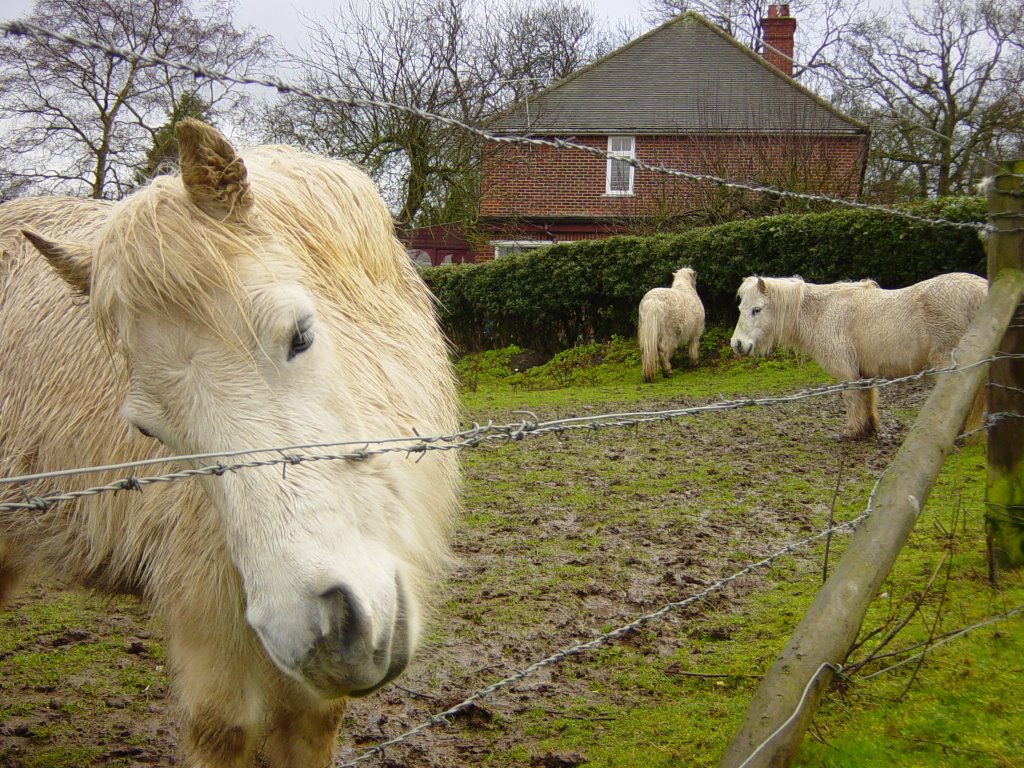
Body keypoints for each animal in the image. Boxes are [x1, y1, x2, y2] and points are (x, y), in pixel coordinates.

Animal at [733, 274, 987, 442]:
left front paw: (851, 432)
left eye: (756, 310)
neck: (823, 312)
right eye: (741, 309)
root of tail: (981, 289)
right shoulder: (864, 372)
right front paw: (869, 429)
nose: (737, 344)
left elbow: (852, 399)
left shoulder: (848, 373)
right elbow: (867, 398)